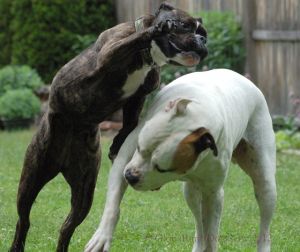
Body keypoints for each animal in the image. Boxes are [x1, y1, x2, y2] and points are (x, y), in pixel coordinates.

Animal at [8, 2, 206, 252]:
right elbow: (135, 38)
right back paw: (17, 244)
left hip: (84, 194)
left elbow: (130, 122)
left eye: (203, 32)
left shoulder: (137, 97)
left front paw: (117, 143)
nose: (202, 39)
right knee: (23, 219)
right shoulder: (110, 53)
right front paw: (158, 28)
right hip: (30, 180)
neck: (146, 58)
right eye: (186, 26)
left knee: (66, 228)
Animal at [84, 69, 276, 252]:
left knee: (263, 224)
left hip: (266, 186)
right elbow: (113, 204)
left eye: (162, 168)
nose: (131, 176)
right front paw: (102, 237)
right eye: (139, 147)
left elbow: (212, 234)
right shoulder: (124, 161)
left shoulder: (213, 194)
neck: (200, 115)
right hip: (190, 193)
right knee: (199, 225)